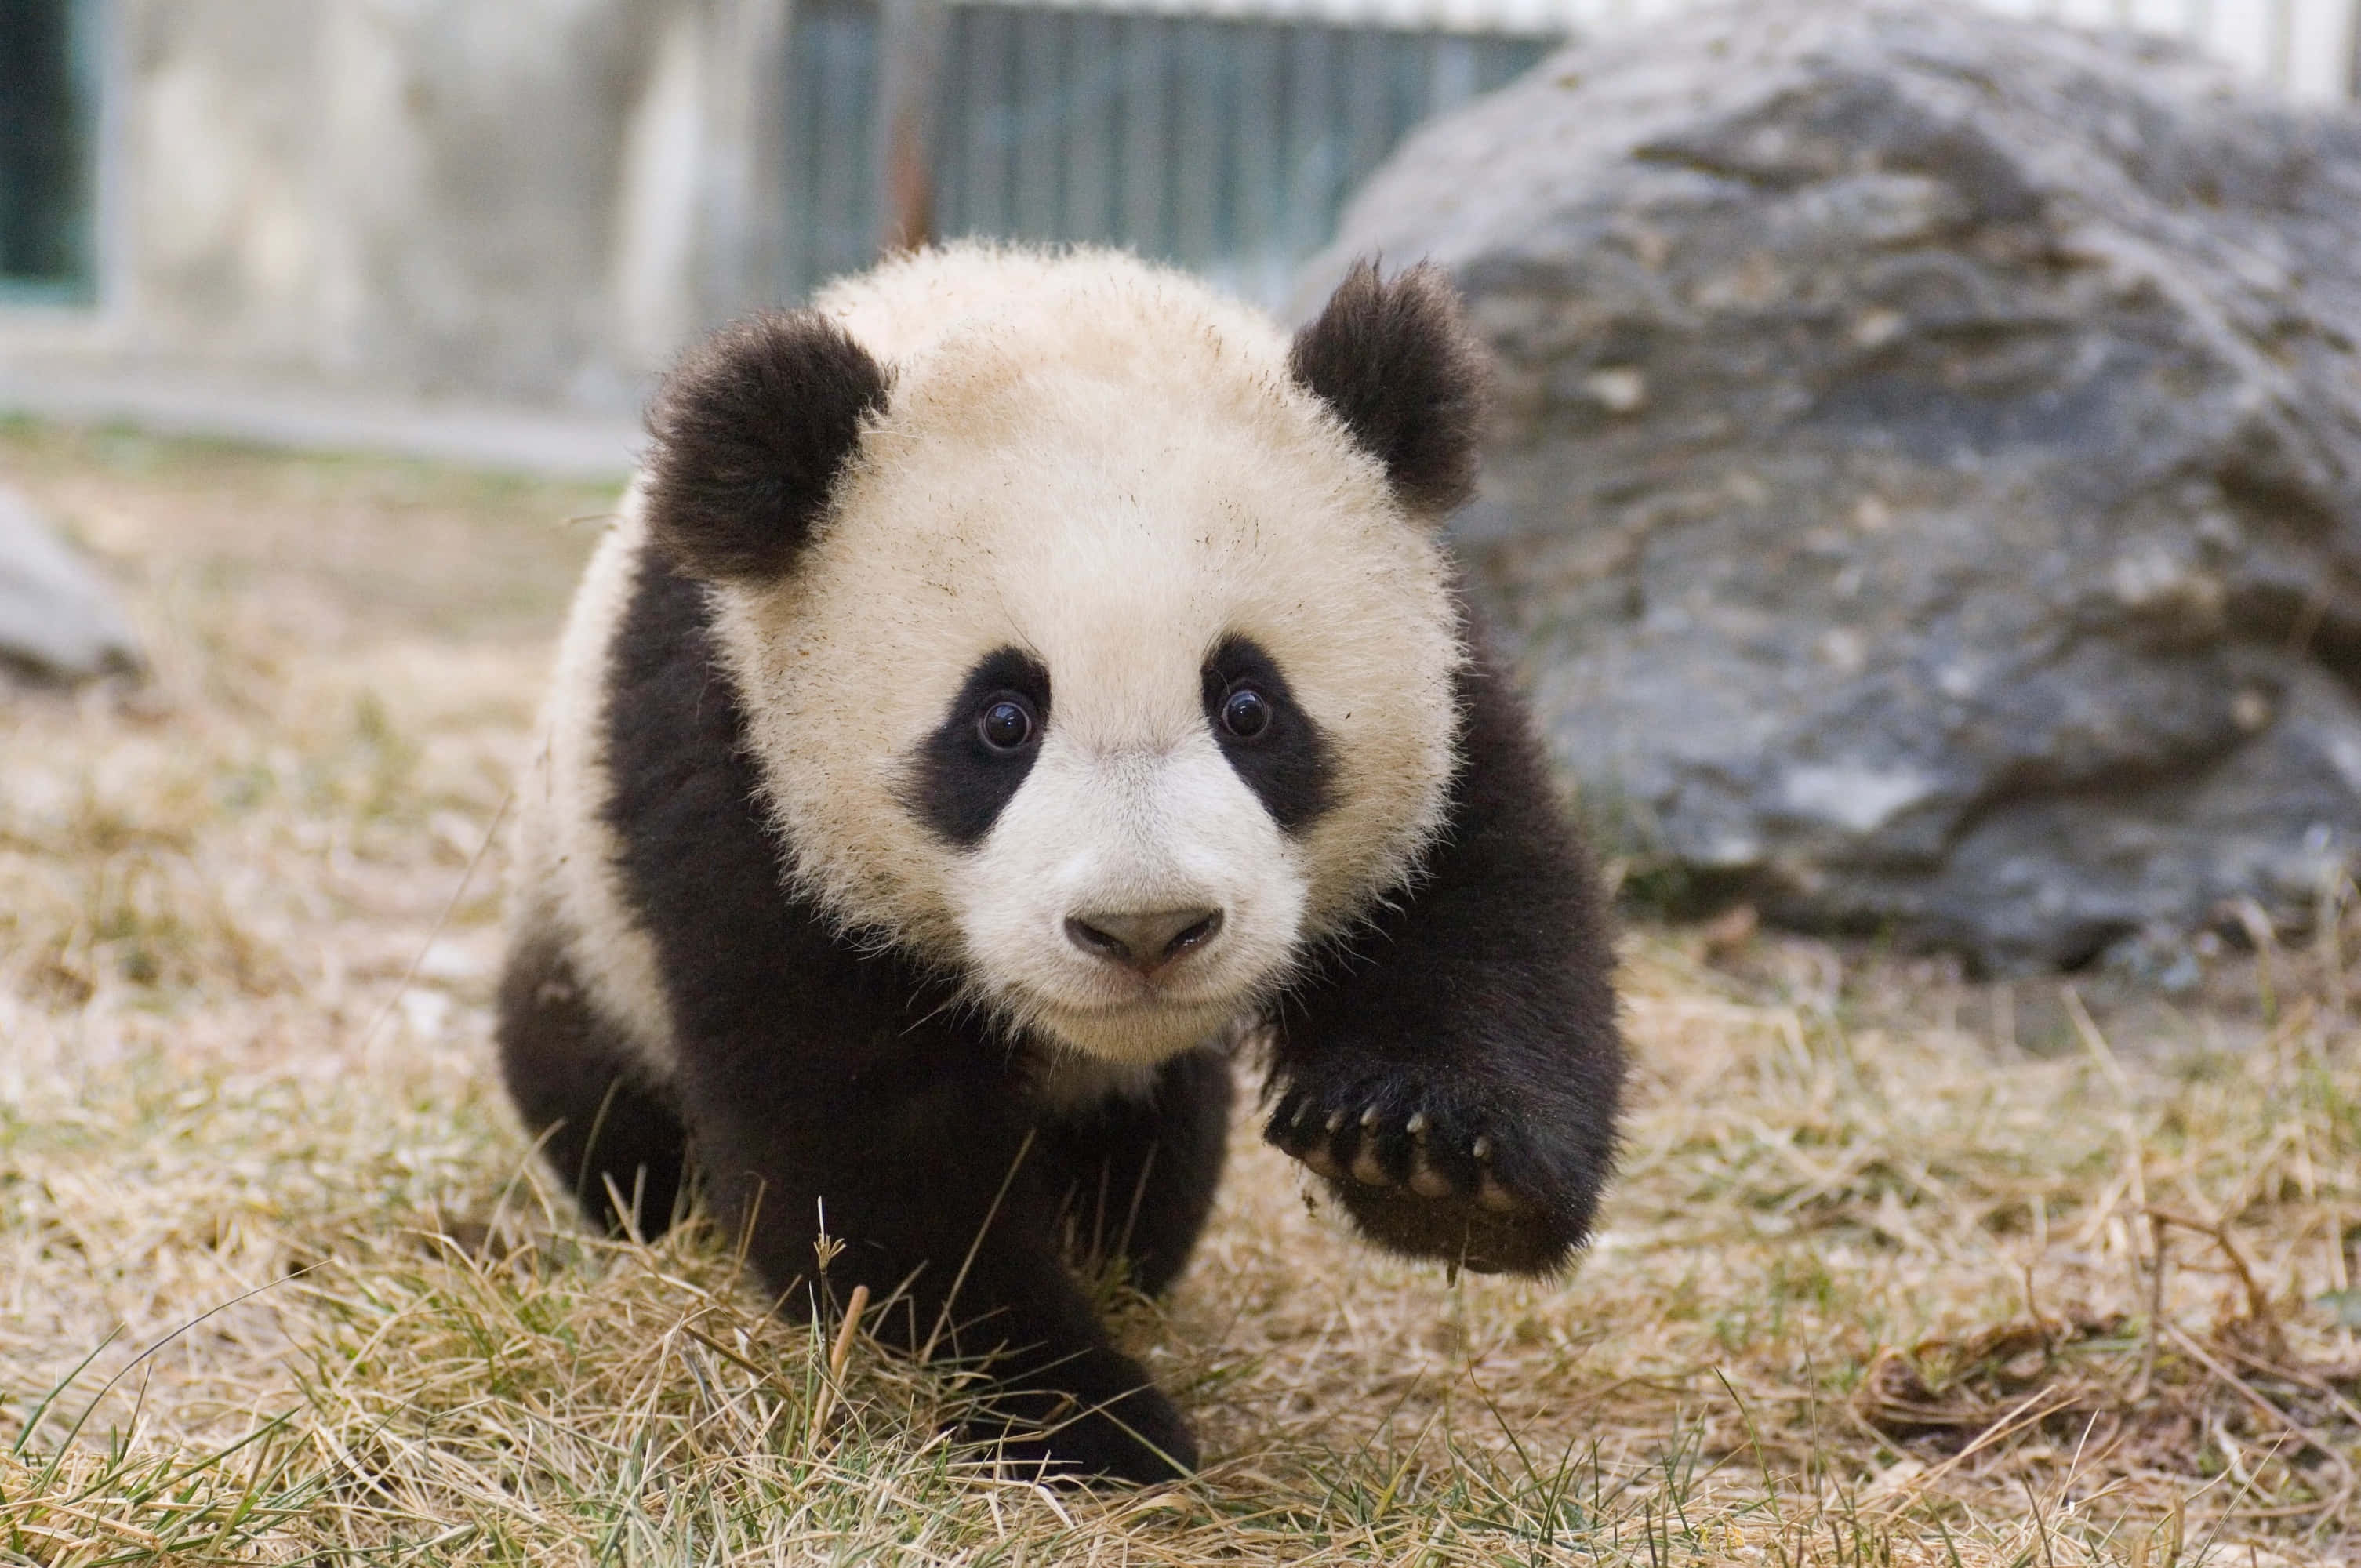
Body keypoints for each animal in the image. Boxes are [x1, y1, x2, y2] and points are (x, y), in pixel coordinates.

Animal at [497, 244, 1623, 1484]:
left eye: (1247, 706)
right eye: (1000, 721)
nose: (1145, 930)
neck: (1021, 307)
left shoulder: (1444, 670)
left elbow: (1487, 915)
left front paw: (1426, 1162)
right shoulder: (728, 747)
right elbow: (865, 1141)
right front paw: (1083, 1411)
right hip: (583, 931)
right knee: (591, 1095)